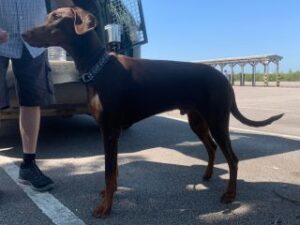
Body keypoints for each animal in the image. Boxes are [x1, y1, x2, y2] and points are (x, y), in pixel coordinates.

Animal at [23, 7, 284, 218]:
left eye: (56, 16)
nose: (24, 35)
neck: (99, 67)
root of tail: (224, 78)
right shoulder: (111, 131)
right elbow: (113, 170)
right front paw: (109, 193)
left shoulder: (109, 129)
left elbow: (108, 170)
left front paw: (105, 208)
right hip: (197, 121)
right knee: (211, 148)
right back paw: (208, 175)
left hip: (218, 121)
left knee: (232, 158)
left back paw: (229, 194)